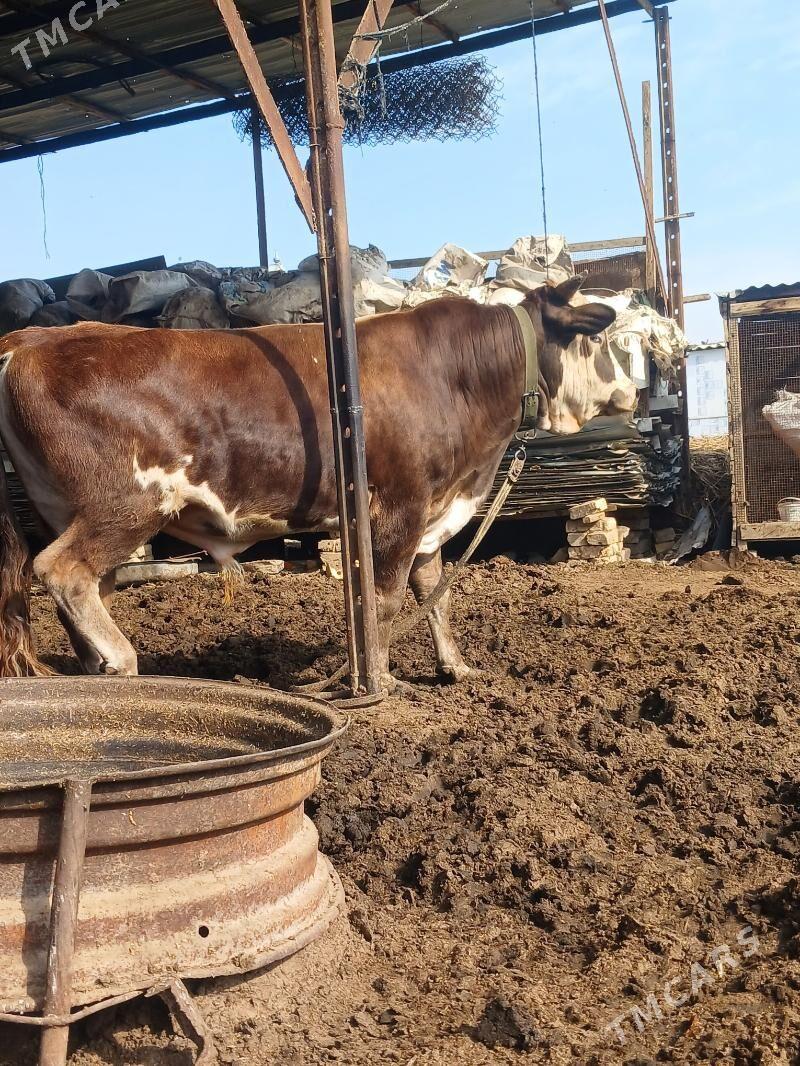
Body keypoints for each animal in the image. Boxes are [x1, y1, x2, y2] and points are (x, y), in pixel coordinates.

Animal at [0, 277, 634, 688]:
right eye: (604, 339)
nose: (634, 391)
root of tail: (30, 339)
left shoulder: (432, 509)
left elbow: (433, 593)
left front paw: (456, 669)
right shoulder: (399, 506)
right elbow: (386, 597)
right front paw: (381, 684)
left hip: (69, 507)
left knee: (85, 590)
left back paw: (101, 674)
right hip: (127, 503)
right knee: (60, 570)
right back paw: (126, 662)